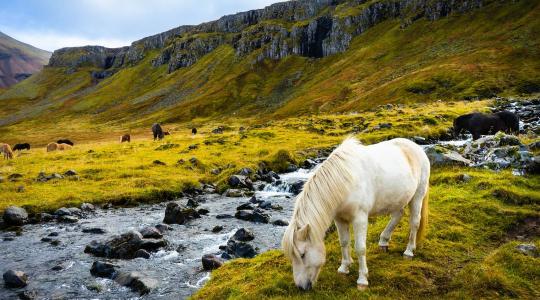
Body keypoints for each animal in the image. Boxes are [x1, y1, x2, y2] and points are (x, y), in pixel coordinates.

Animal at [282, 138, 430, 290]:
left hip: (418, 196)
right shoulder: (340, 219)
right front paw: (344, 268)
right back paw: (384, 241)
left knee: (414, 222)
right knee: (398, 215)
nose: (301, 287)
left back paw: (409, 251)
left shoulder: (360, 219)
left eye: (302, 254)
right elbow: (344, 242)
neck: (345, 181)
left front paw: (362, 280)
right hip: (397, 199)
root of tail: (416, 147)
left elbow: (360, 248)